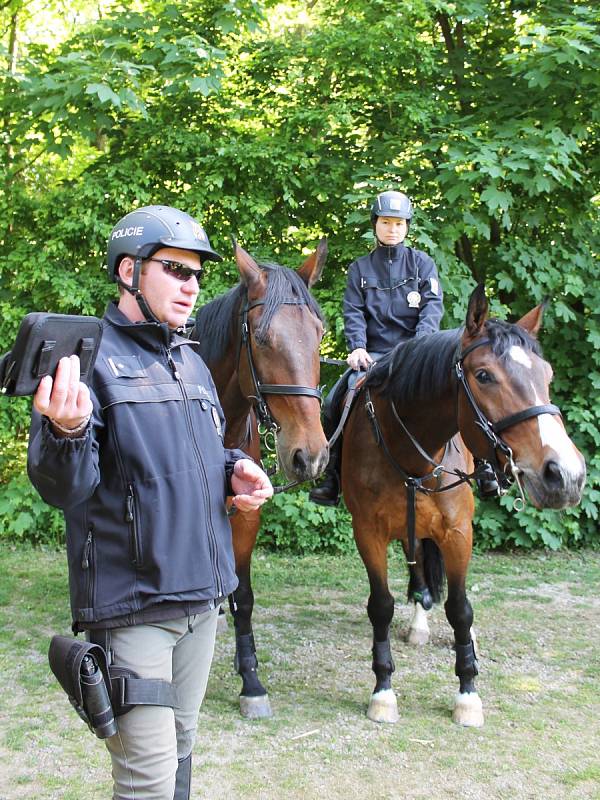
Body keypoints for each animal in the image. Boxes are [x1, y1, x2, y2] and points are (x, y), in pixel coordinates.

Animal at [192, 239, 326, 720]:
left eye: (319, 335)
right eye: (264, 339)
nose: (310, 455)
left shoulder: (246, 519)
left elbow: (244, 597)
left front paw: (250, 679)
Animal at [342, 284, 584, 728]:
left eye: (547, 376)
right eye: (484, 375)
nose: (566, 475)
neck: (413, 451)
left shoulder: (458, 533)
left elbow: (460, 609)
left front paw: (468, 693)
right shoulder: (368, 531)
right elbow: (381, 606)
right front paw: (383, 691)